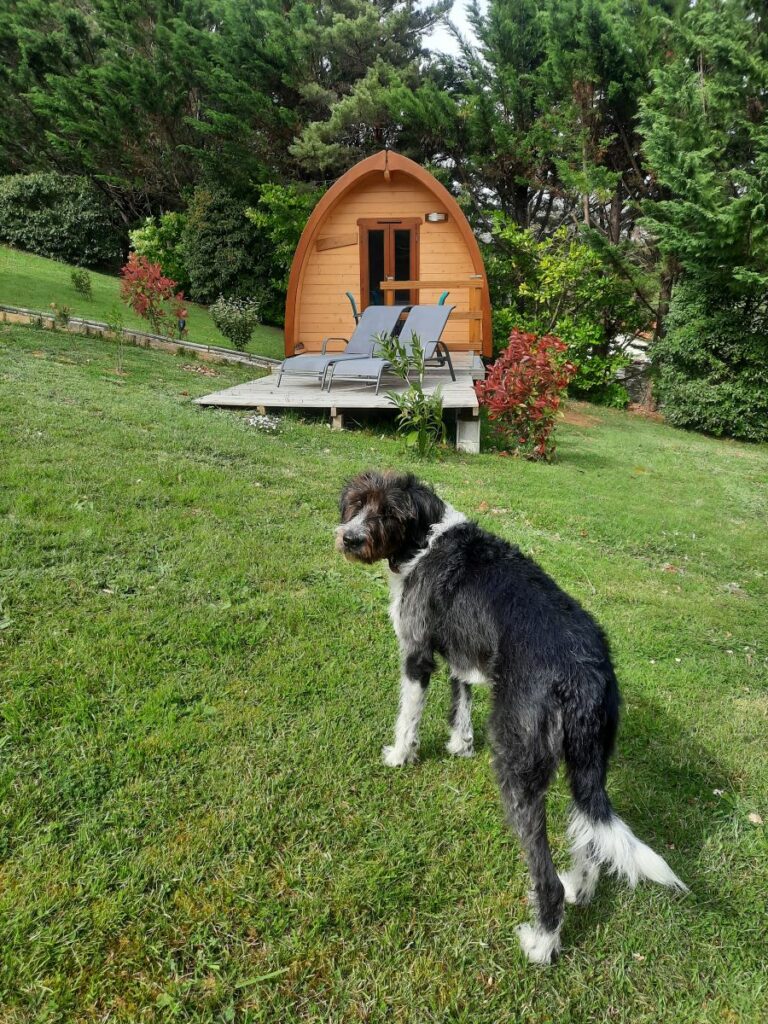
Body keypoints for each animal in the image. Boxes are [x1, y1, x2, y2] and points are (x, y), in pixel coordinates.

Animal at [333, 471, 688, 966]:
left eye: (387, 512)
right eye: (357, 503)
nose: (349, 537)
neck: (425, 536)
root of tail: (583, 671)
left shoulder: (416, 651)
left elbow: (409, 713)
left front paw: (400, 756)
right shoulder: (463, 652)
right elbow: (460, 700)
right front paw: (460, 745)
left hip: (517, 765)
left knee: (545, 877)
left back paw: (541, 944)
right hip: (588, 763)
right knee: (590, 830)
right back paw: (582, 888)